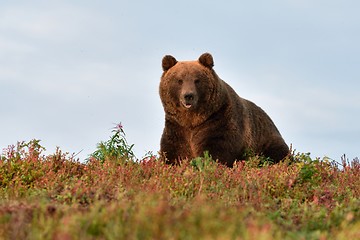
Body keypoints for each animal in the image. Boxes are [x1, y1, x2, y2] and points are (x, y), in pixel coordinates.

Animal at [159, 52, 288, 166]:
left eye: (197, 80)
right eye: (179, 80)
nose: (188, 96)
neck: (192, 121)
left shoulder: (218, 121)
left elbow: (216, 153)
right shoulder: (176, 128)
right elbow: (172, 154)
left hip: (266, 140)